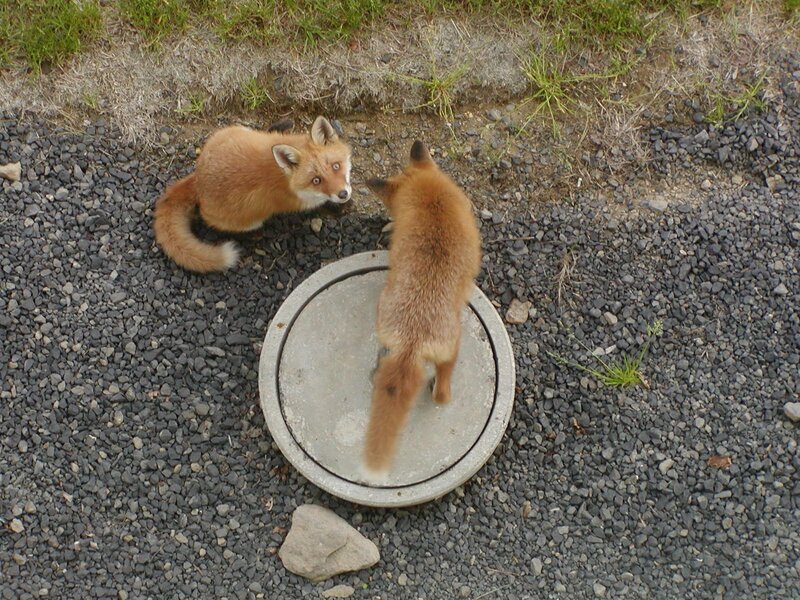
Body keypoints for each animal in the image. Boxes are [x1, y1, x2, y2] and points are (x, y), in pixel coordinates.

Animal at [153, 116, 352, 273]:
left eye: (336, 166)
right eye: (316, 180)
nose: (343, 194)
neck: (285, 177)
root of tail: (197, 180)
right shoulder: (301, 202)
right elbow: (322, 204)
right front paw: (339, 207)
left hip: (236, 130)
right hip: (246, 221)